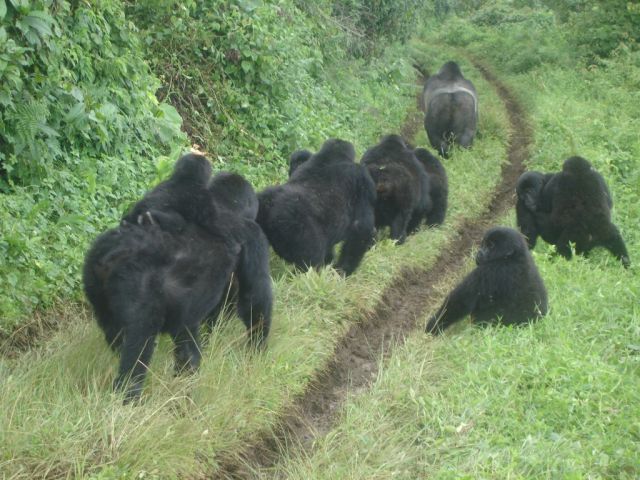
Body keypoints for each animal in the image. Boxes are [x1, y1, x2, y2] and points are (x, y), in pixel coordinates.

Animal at [255, 137, 376, 276]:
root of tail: (269, 206)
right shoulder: (362, 179)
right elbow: (361, 227)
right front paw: (341, 271)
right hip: (296, 228)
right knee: (310, 263)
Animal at [424, 228, 552, 334]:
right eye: (484, 244)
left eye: (491, 246)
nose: (479, 252)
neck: (513, 257)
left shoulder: (489, 271)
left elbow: (459, 302)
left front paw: (433, 326)